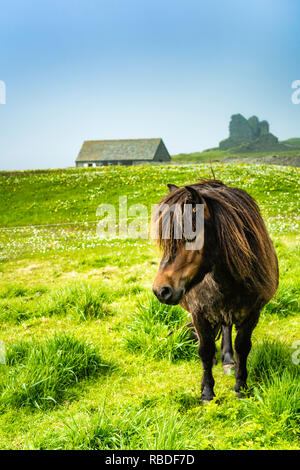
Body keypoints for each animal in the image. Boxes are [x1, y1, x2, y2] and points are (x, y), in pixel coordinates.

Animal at [152, 179, 278, 400]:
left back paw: (228, 360)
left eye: (191, 237)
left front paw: (240, 387)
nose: (161, 290)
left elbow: (242, 347)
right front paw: (207, 392)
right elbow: (205, 349)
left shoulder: (252, 313)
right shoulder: (198, 314)